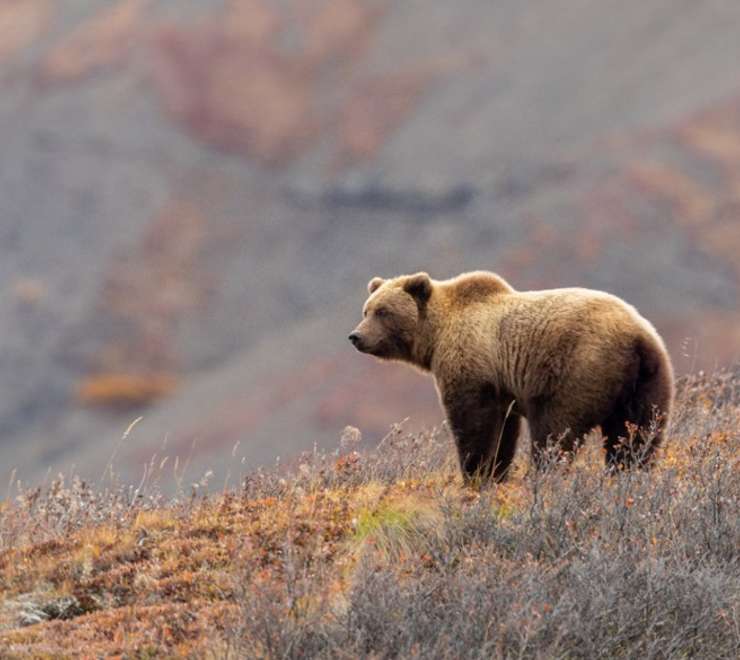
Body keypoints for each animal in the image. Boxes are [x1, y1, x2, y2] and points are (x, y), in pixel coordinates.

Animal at [348, 271, 674, 484]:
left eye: (383, 311)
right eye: (366, 310)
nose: (356, 336)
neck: (436, 336)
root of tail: (637, 338)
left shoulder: (472, 365)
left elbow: (473, 423)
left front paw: (475, 474)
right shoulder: (502, 387)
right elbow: (504, 430)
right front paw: (496, 472)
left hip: (579, 369)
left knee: (556, 429)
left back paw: (544, 474)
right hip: (648, 381)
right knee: (637, 433)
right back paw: (628, 472)